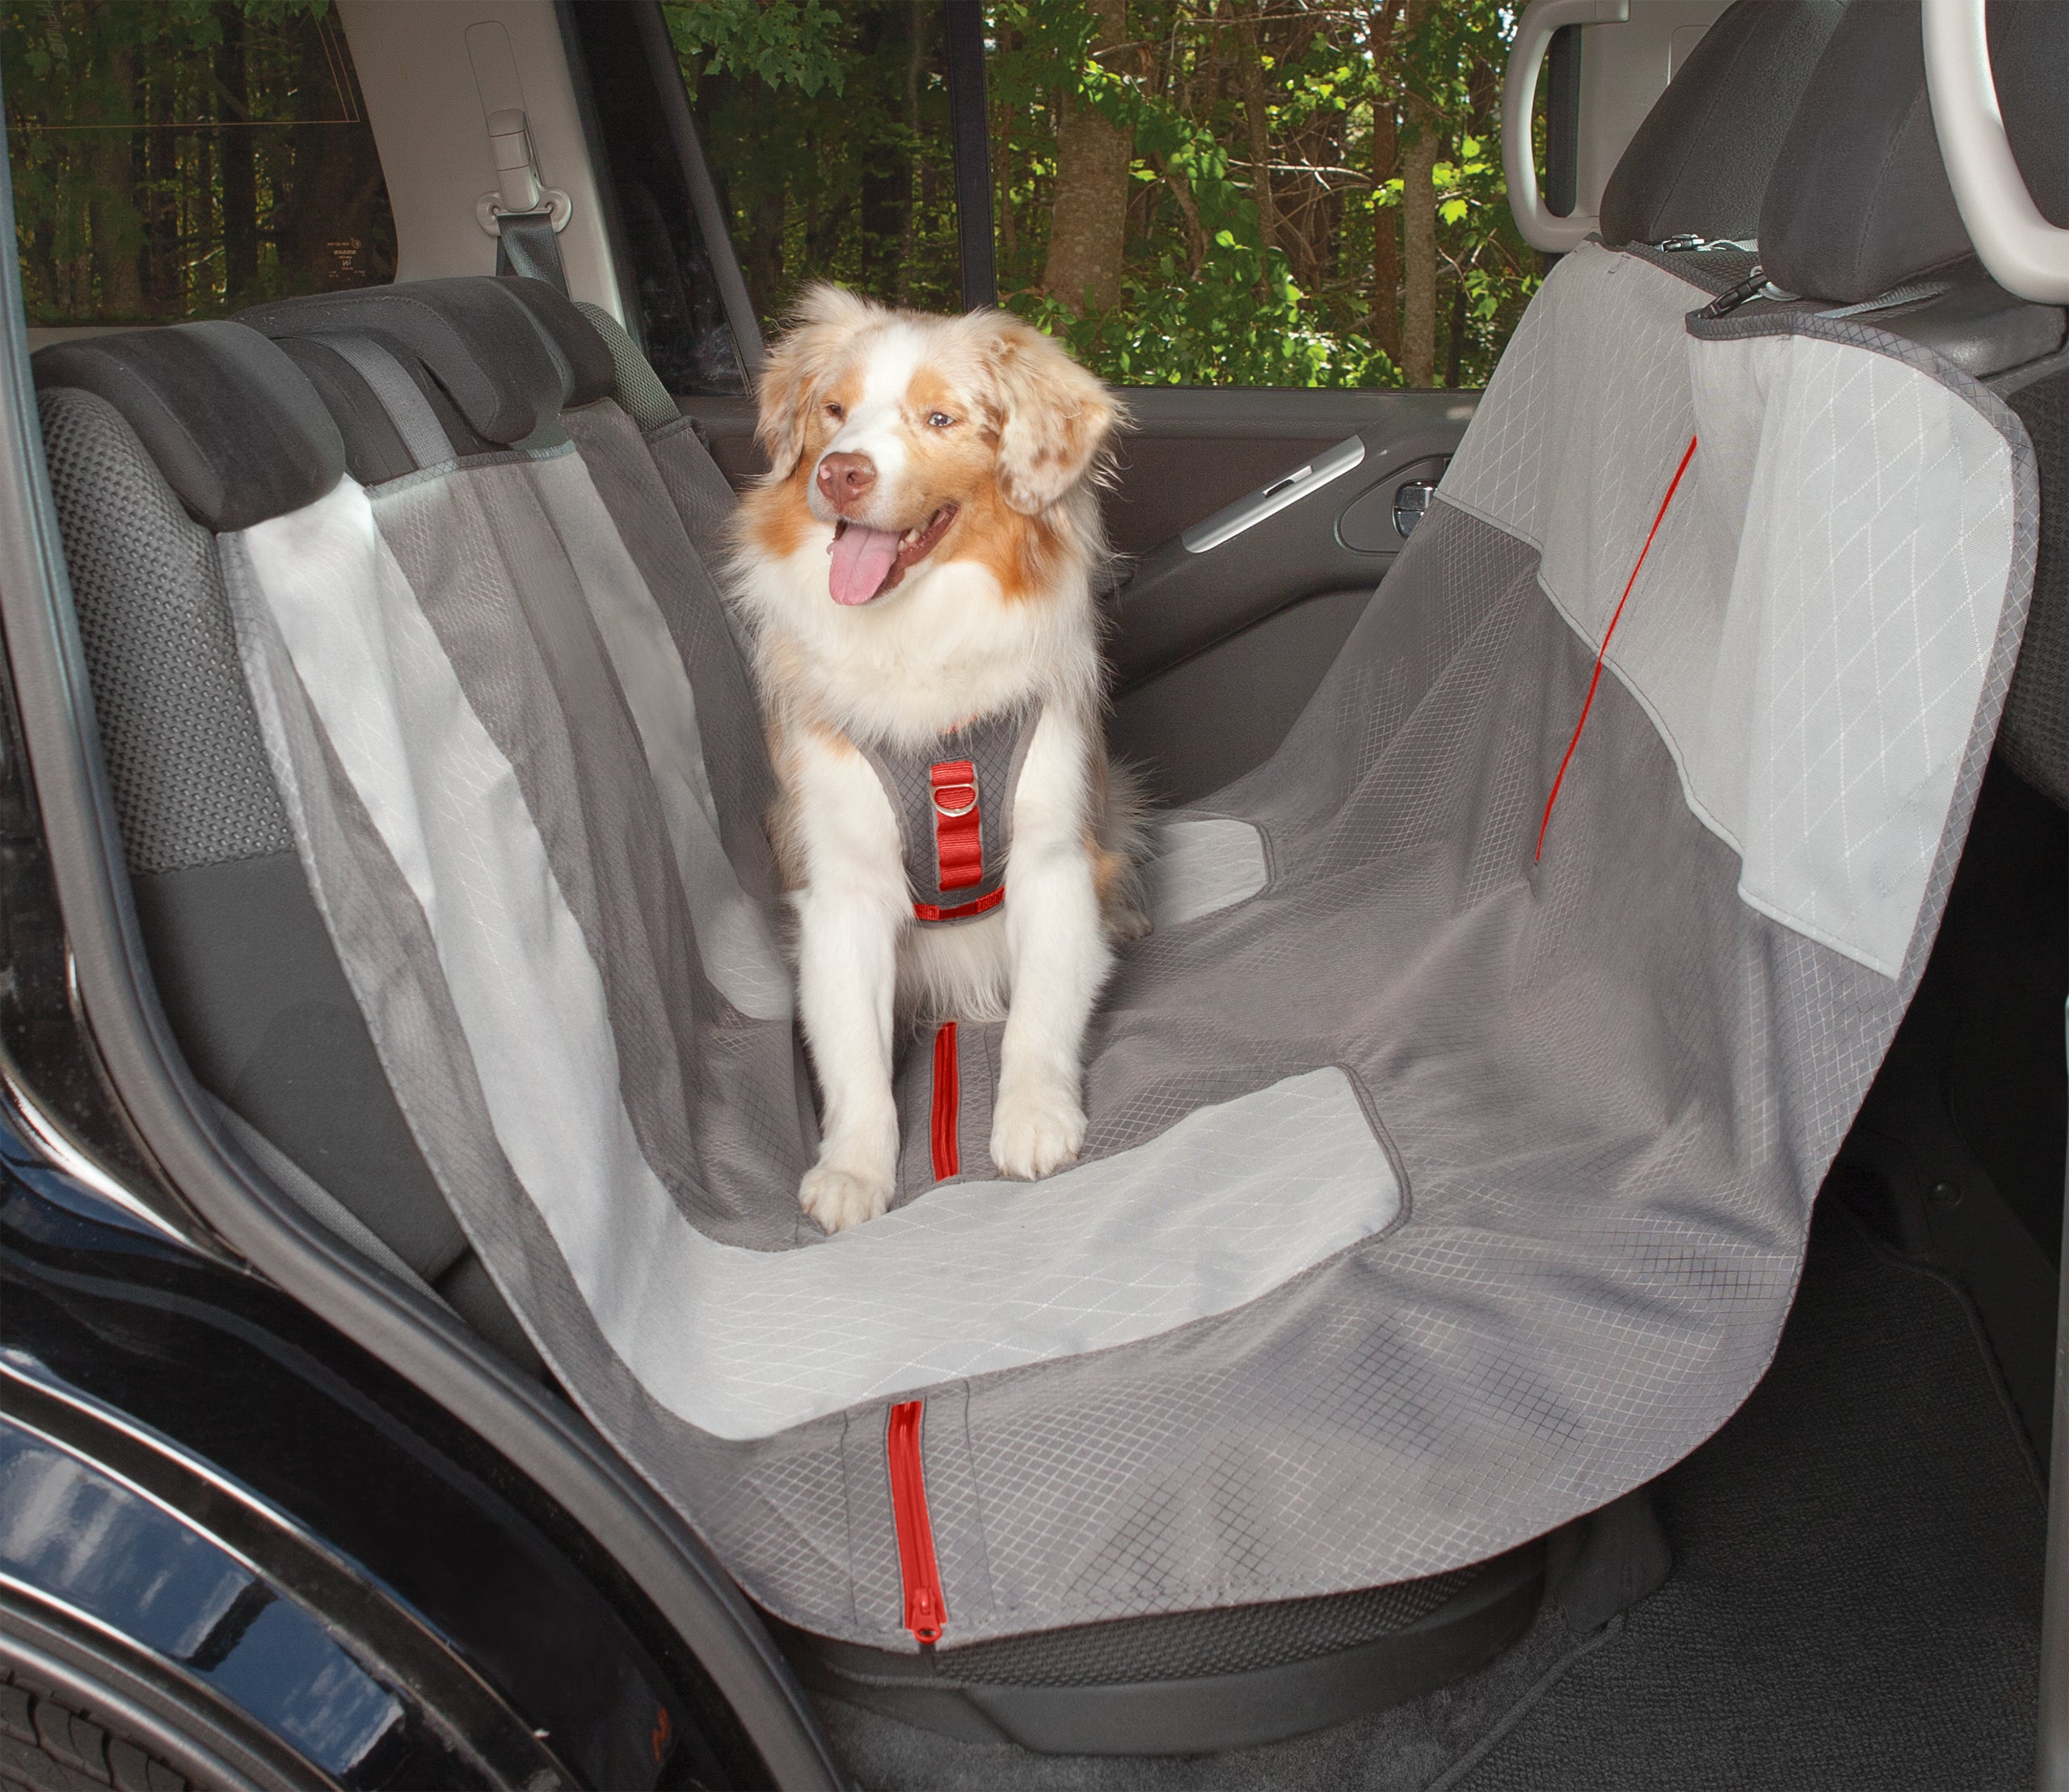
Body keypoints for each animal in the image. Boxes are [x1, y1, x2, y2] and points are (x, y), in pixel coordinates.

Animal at [728, 289, 1150, 1225]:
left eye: (940, 418)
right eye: (833, 411)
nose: (839, 473)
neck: (918, 644)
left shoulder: (1056, 857)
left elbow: (1040, 1010)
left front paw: (1034, 1118)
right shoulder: (841, 886)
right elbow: (851, 1050)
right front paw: (854, 1169)